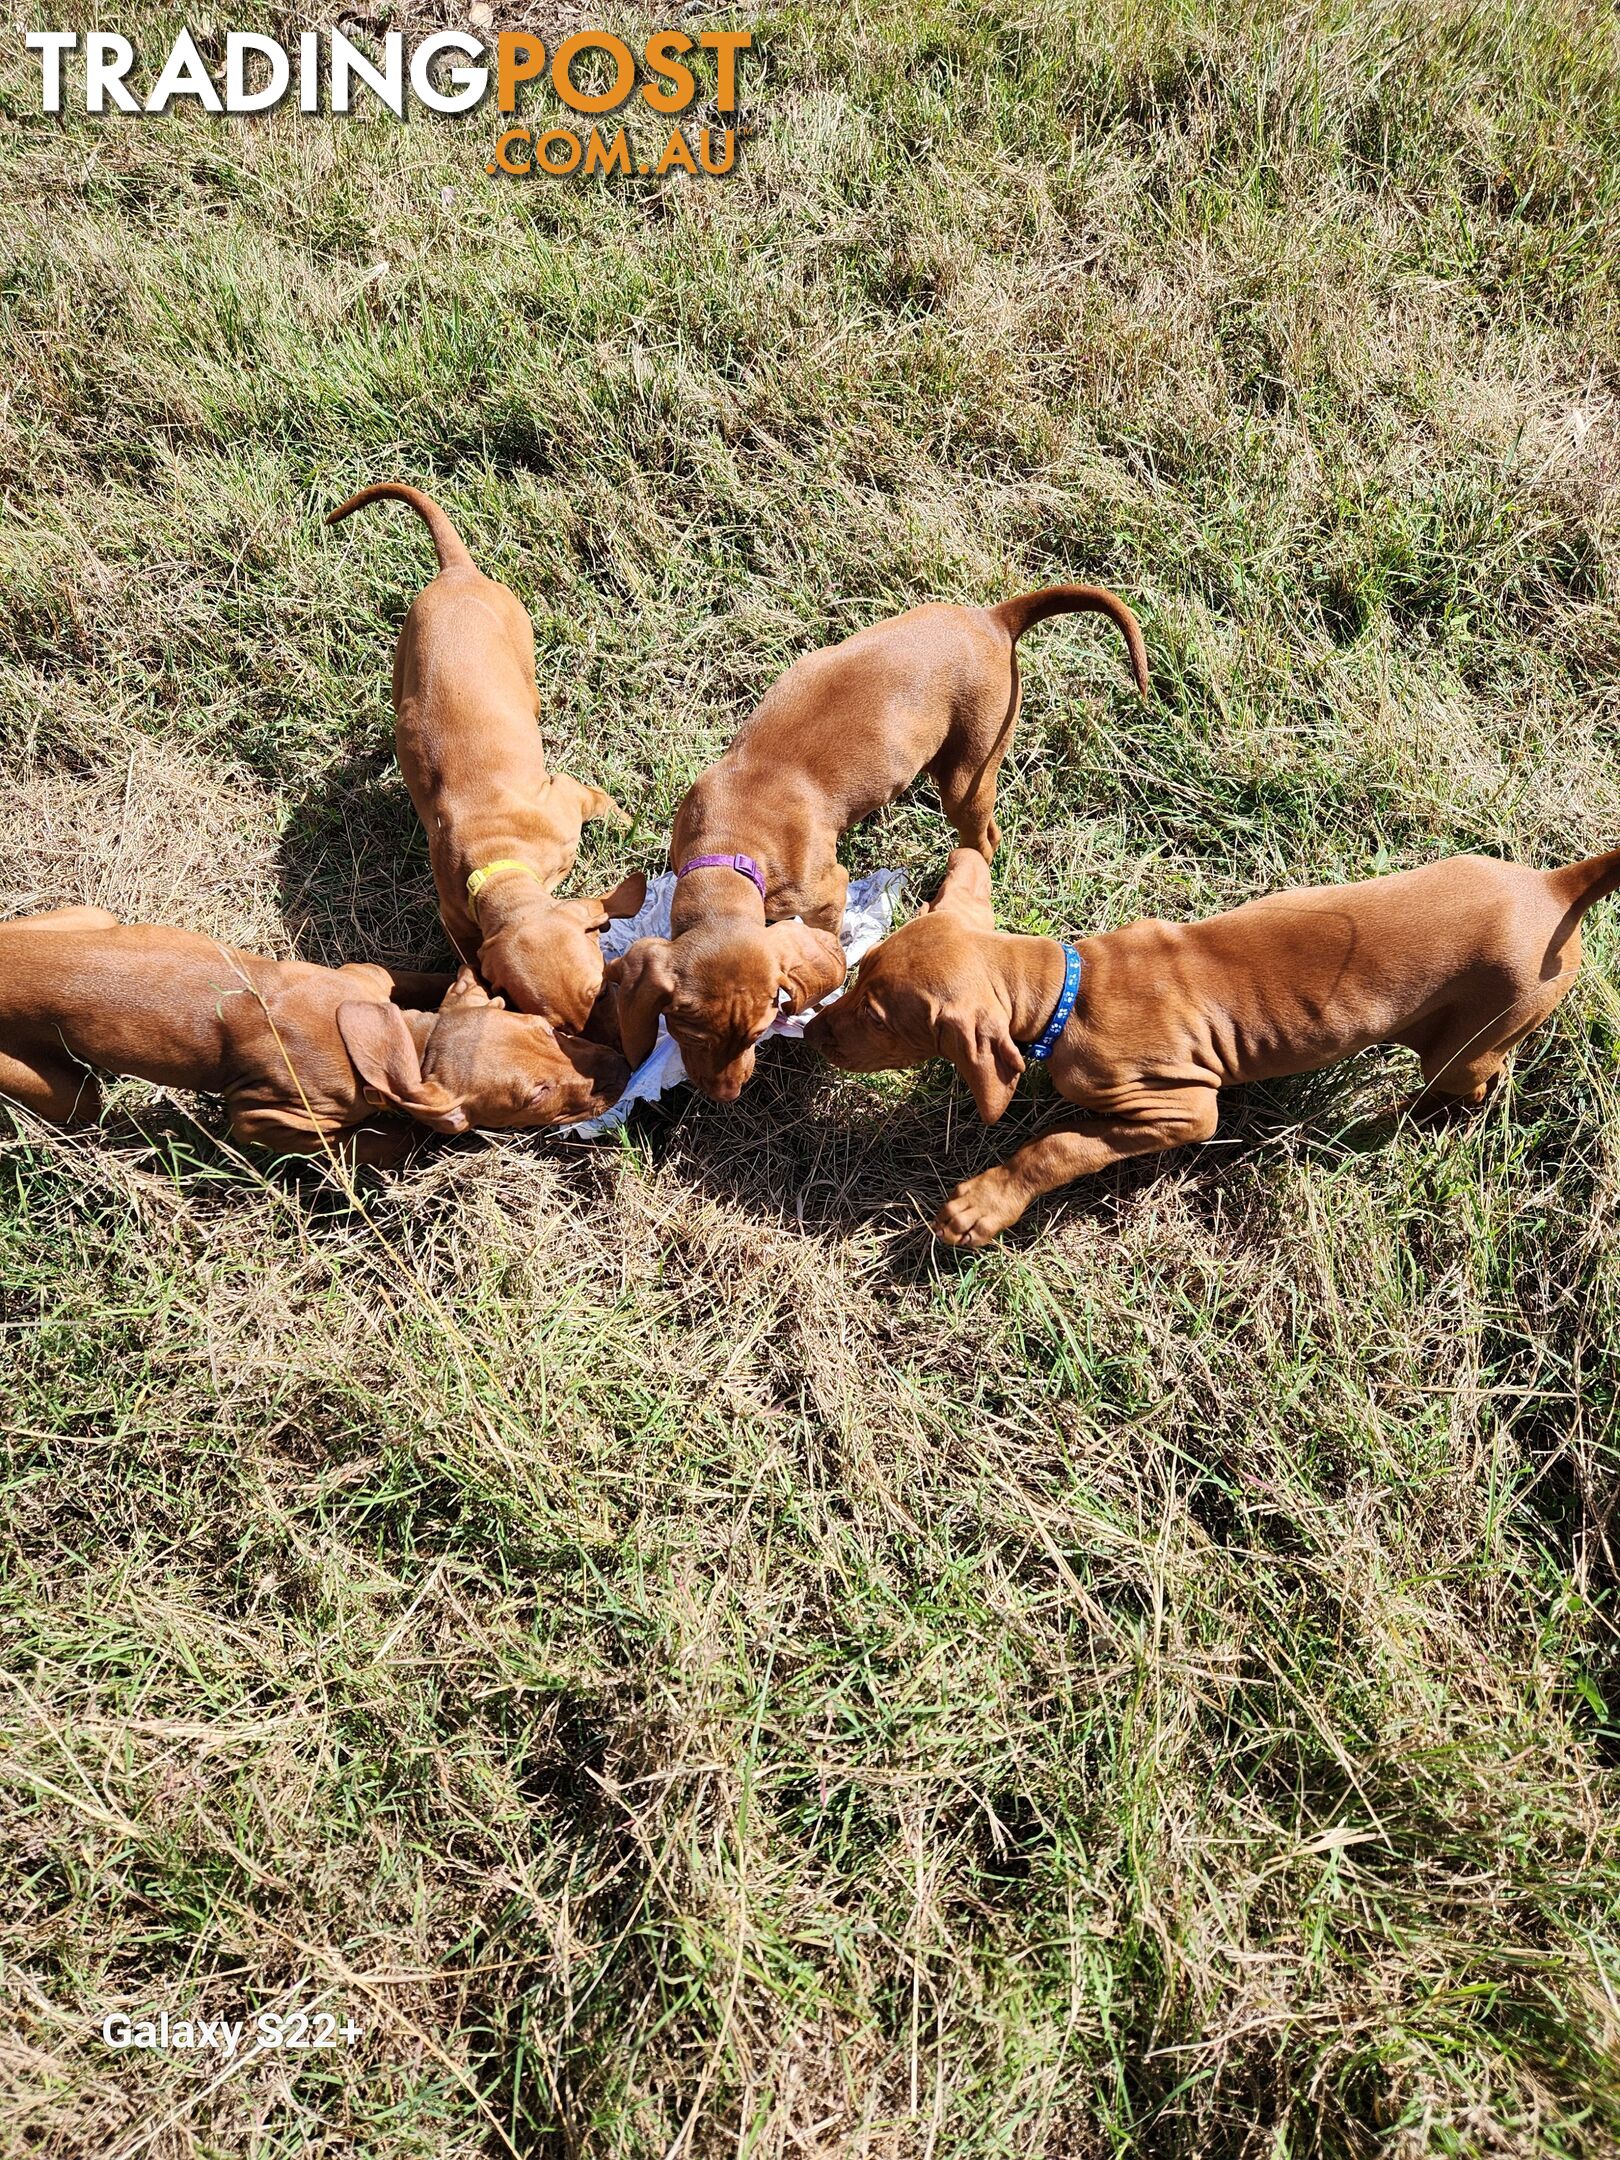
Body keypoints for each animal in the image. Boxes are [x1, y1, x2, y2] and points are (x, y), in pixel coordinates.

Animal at [0, 907, 626, 1166]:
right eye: (534, 1096)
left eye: (543, 1027)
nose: (621, 1068)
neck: (405, 1044)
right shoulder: (260, 1117)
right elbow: (362, 1141)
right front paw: (406, 1140)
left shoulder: (367, 978)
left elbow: (422, 980)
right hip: (65, 1093)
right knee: (82, 1102)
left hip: (92, 916)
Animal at [326, 490, 648, 1028]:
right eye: (554, 1024)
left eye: (600, 990)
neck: (498, 859)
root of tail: (456, 574)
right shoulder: (457, 915)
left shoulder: (564, 795)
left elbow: (601, 801)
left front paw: (629, 825)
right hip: (403, 664)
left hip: (519, 652)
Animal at [609, 587, 1157, 1105]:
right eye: (690, 1036)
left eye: (756, 1033)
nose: (726, 1095)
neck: (731, 847)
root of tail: (993, 619)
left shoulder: (827, 891)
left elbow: (826, 938)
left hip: (967, 770)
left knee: (983, 837)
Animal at [812, 842, 1620, 1252]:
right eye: (862, 974)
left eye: (879, 1016)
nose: (815, 1030)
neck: (1067, 990)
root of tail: (1555, 887)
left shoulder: (1186, 1107)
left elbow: (1062, 1143)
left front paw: (985, 1203)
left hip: (1476, 1036)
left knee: (1471, 1084)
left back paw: (1393, 1121)